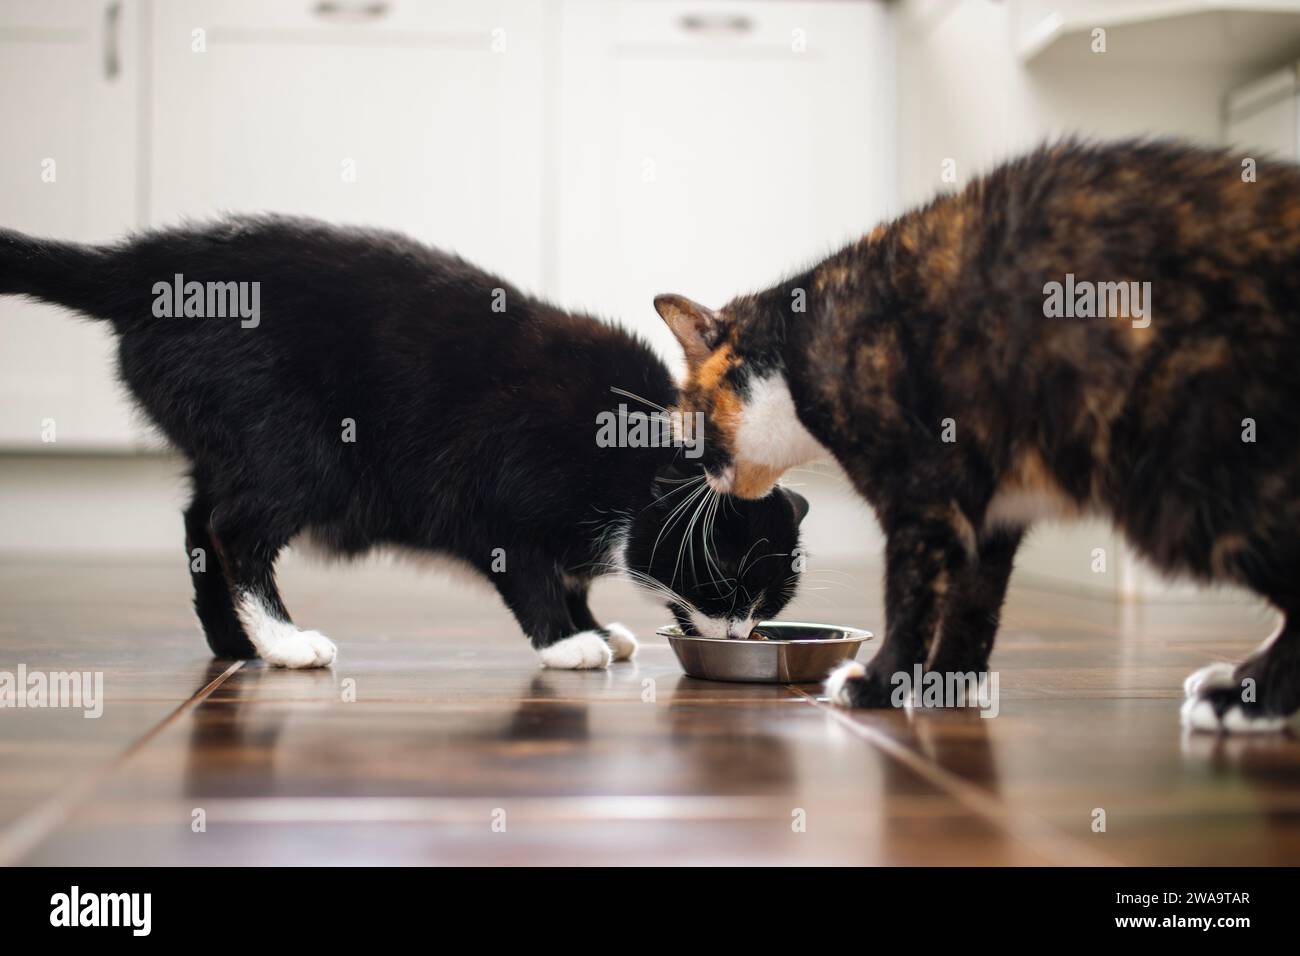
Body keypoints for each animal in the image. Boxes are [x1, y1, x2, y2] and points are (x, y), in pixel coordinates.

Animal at [0, 214, 806, 671]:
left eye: (770, 603)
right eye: (732, 587)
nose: (743, 634)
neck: (630, 462)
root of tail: (140, 266)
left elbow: (571, 575)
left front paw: (596, 626)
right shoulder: (489, 486)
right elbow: (529, 571)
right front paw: (567, 642)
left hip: (224, 437)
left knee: (200, 520)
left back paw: (235, 644)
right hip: (299, 445)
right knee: (234, 527)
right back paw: (285, 642)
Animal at [655, 138, 1300, 733]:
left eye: (690, 424)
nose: (700, 471)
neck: (797, 350)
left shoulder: (922, 496)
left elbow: (911, 597)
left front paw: (879, 683)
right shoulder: (992, 513)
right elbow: (973, 603)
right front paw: (946, 683)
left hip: (1187, 485)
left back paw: (1241, 698)